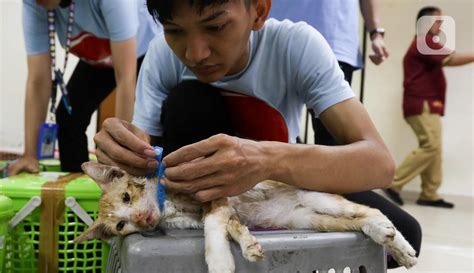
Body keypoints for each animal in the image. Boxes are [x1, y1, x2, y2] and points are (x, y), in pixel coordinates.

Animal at [76, 160, 416, 270]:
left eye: (127, 196)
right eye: (121, 225)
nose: (142, 221)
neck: (167, 206)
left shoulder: (215, 197)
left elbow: (213, 230)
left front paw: (220, 263)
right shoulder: (222, 212)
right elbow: (232, 227)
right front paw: (249, 246)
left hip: (321, 199)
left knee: (371, 211)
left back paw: (397, 242)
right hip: (308, 219)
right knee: (357, 223)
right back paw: (387, 240)